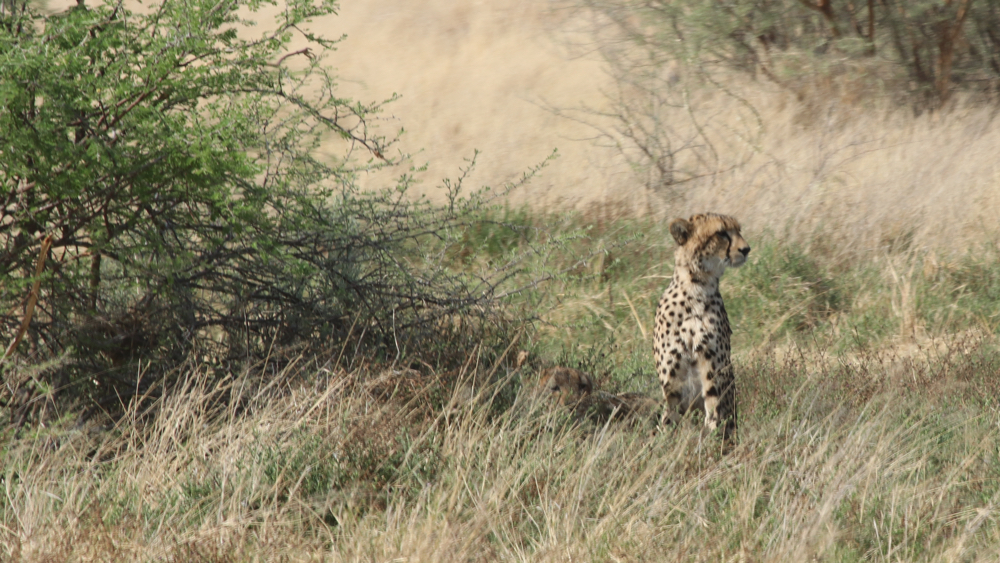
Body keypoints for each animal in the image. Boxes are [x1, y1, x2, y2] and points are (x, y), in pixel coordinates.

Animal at [653, 213, 750, 442]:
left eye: (738, 231)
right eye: (721, 233)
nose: (746, 249)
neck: (697, 288)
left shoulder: (713, 371)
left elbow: (714, 413)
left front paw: (712, 441)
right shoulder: (671, 382)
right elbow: (669, 419)